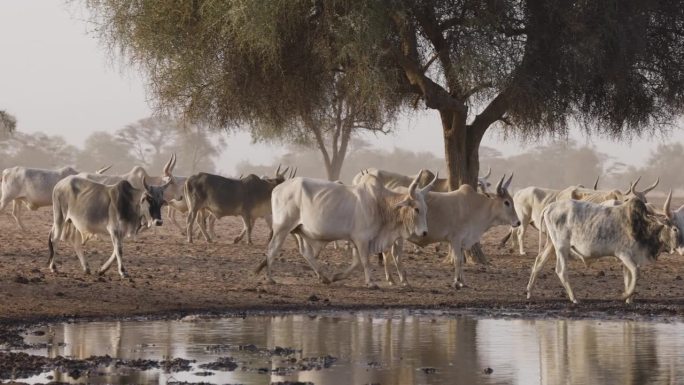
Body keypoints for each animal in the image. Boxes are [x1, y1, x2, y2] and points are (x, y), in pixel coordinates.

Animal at [256, 171, 432, 284]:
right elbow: (365, 261)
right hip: (282, 228)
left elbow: (356, 262)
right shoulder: (362, 239)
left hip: (299, 230)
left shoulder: (355, 240)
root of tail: (277, 188)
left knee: (306, 252)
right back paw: (270, 278)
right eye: (416, 209)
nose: (424, 232)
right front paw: (371, 282)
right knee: (272, 248)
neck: (380, 204)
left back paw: (324, 277)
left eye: (426, 208)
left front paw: (337, 277)